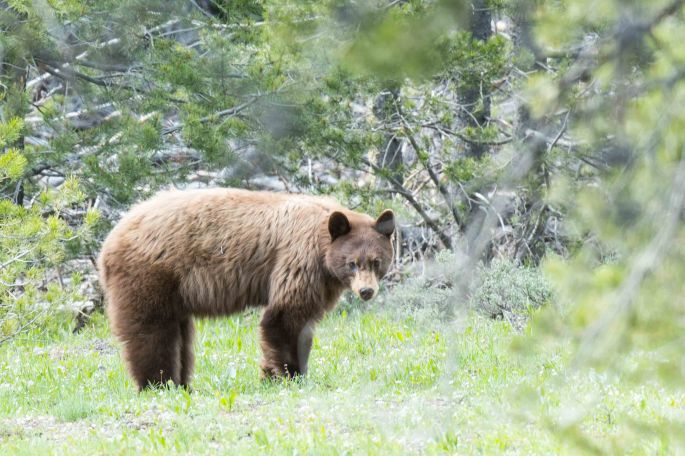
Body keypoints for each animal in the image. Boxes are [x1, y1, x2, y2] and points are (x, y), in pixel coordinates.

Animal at [97, 188, 395, 390]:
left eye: (376, 261)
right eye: (352, 263)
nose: (366, 291)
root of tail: (110, 239)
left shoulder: (321, 281)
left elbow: (303, 324)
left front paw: (270, 375)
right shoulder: (299, 260)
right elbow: (284, 317)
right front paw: (291, 374)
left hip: (174, 292)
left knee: (181, 335)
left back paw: (183, 385)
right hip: (151, 274)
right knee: (151, 330)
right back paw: (158, 383)